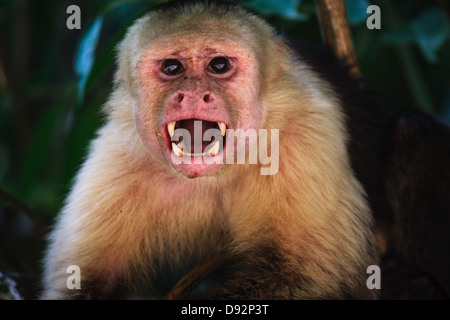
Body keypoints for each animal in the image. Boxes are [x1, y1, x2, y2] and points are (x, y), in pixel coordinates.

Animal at [41, 0, 450, 300]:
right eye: (171, 67)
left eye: (219, 65)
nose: (191, 93)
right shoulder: (117, 161)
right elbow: (84, 284)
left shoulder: (304, 136)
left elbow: (308, 276)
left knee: (412, 131)